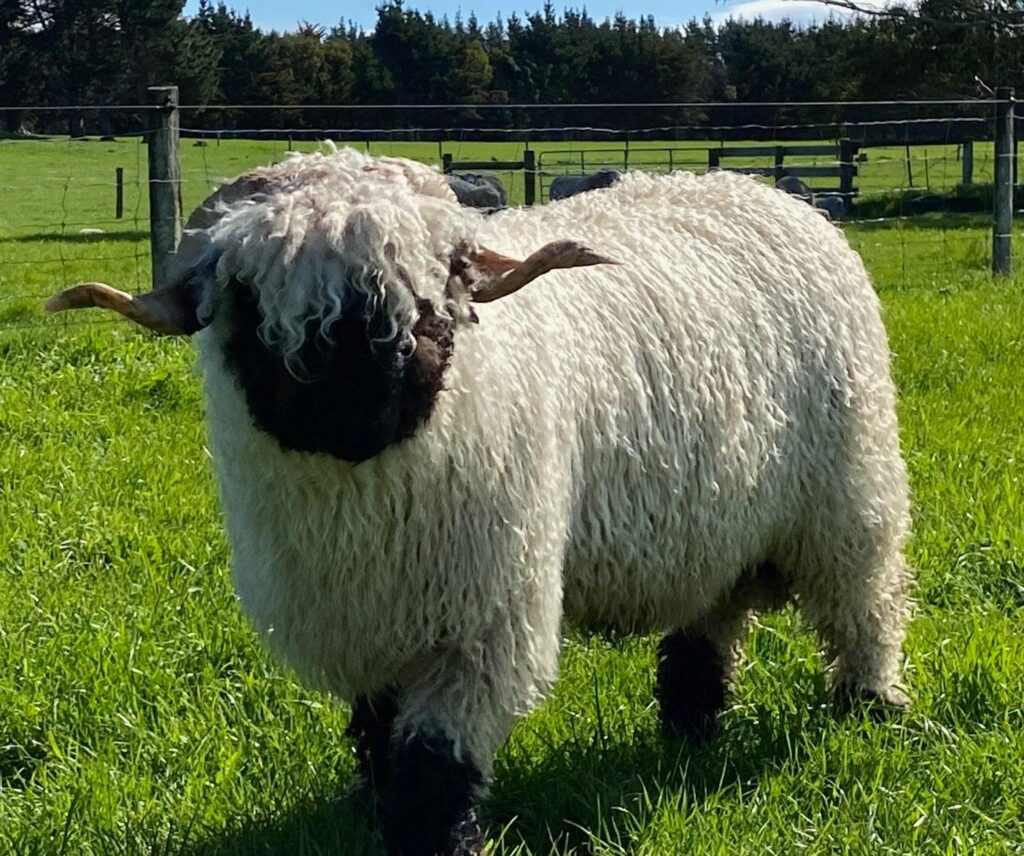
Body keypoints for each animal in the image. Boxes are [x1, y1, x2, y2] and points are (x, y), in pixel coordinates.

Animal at [47, 147, 913, 856]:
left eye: (438, 290)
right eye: (252, 300)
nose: (361, 406)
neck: (368, 500)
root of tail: (766, 192)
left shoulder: (481, 619)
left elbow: (435, 760)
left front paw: (431, 838)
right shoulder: (371, 617)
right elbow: (379, 733)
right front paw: (376, 808)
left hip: (850, 494)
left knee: (865, 606)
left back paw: (872, 706)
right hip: (721, 523)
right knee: (711, 621)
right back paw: (690, 726)